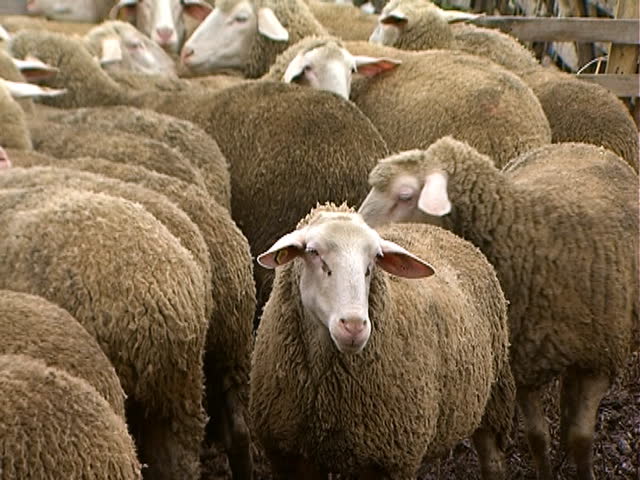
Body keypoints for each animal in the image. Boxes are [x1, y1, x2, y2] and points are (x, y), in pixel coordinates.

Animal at [251, 203, 515, 479]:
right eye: (313, 252)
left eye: (375, 259)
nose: (354, 326)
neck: (325, 398)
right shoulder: (289, 454)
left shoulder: (390, 460)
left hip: (495, 394)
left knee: (492, 458)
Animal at [358, 138, 639, 480]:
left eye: (405, 195)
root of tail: (576, 143)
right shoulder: (522, 366)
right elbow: (537, 437)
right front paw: (546, 470)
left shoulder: (601, 360)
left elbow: (582, 438)